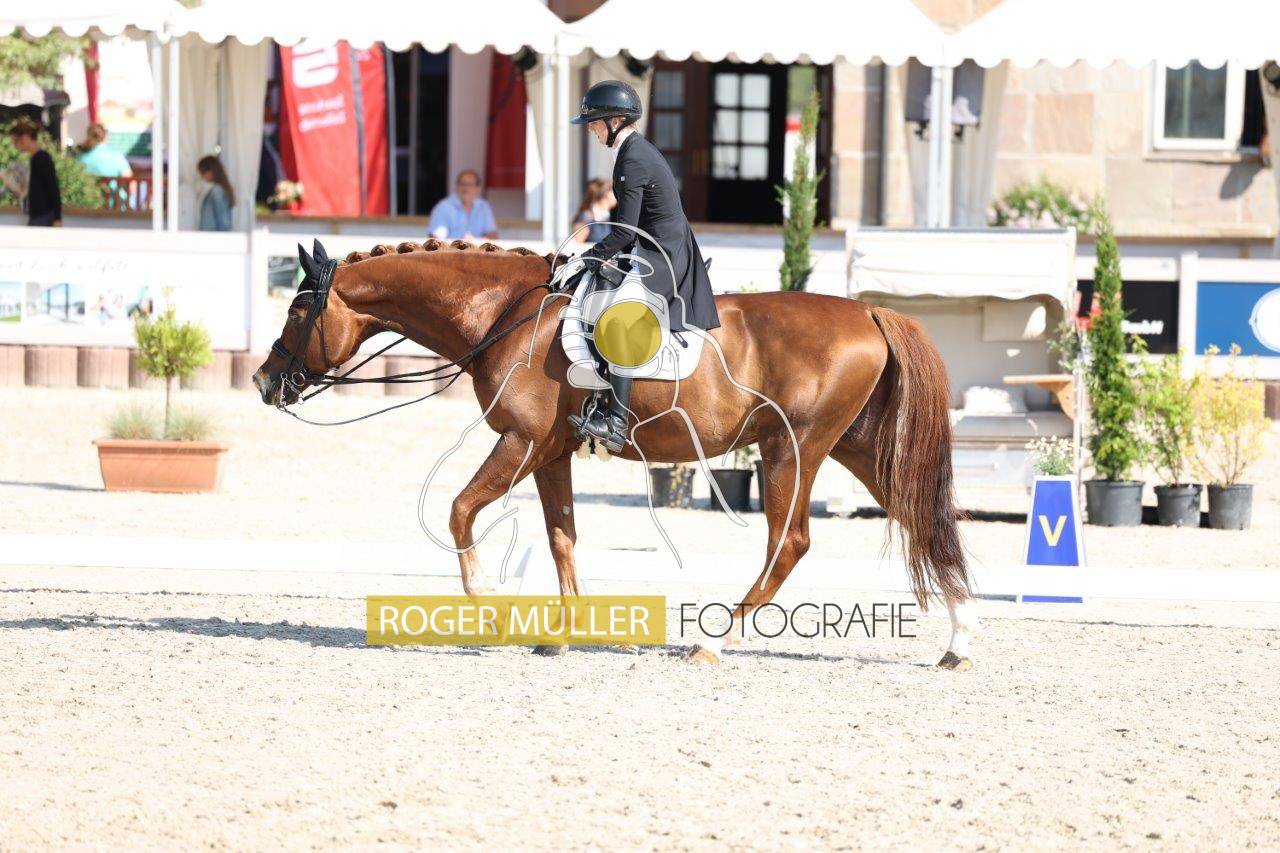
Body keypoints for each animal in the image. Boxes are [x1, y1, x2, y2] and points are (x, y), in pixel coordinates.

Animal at [252, 238, 978, 670]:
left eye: (295, 311)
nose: (263, 381)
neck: (503, 311)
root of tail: (869, 314)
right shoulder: (550, 451)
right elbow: (562, 538)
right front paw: (562, 633)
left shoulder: (519, 441)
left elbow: (459, 510)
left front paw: (486, 601)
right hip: (857, 448)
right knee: (924, 519)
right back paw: (959, 642)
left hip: (790, 448)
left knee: (789, 543)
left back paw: (714, 640)